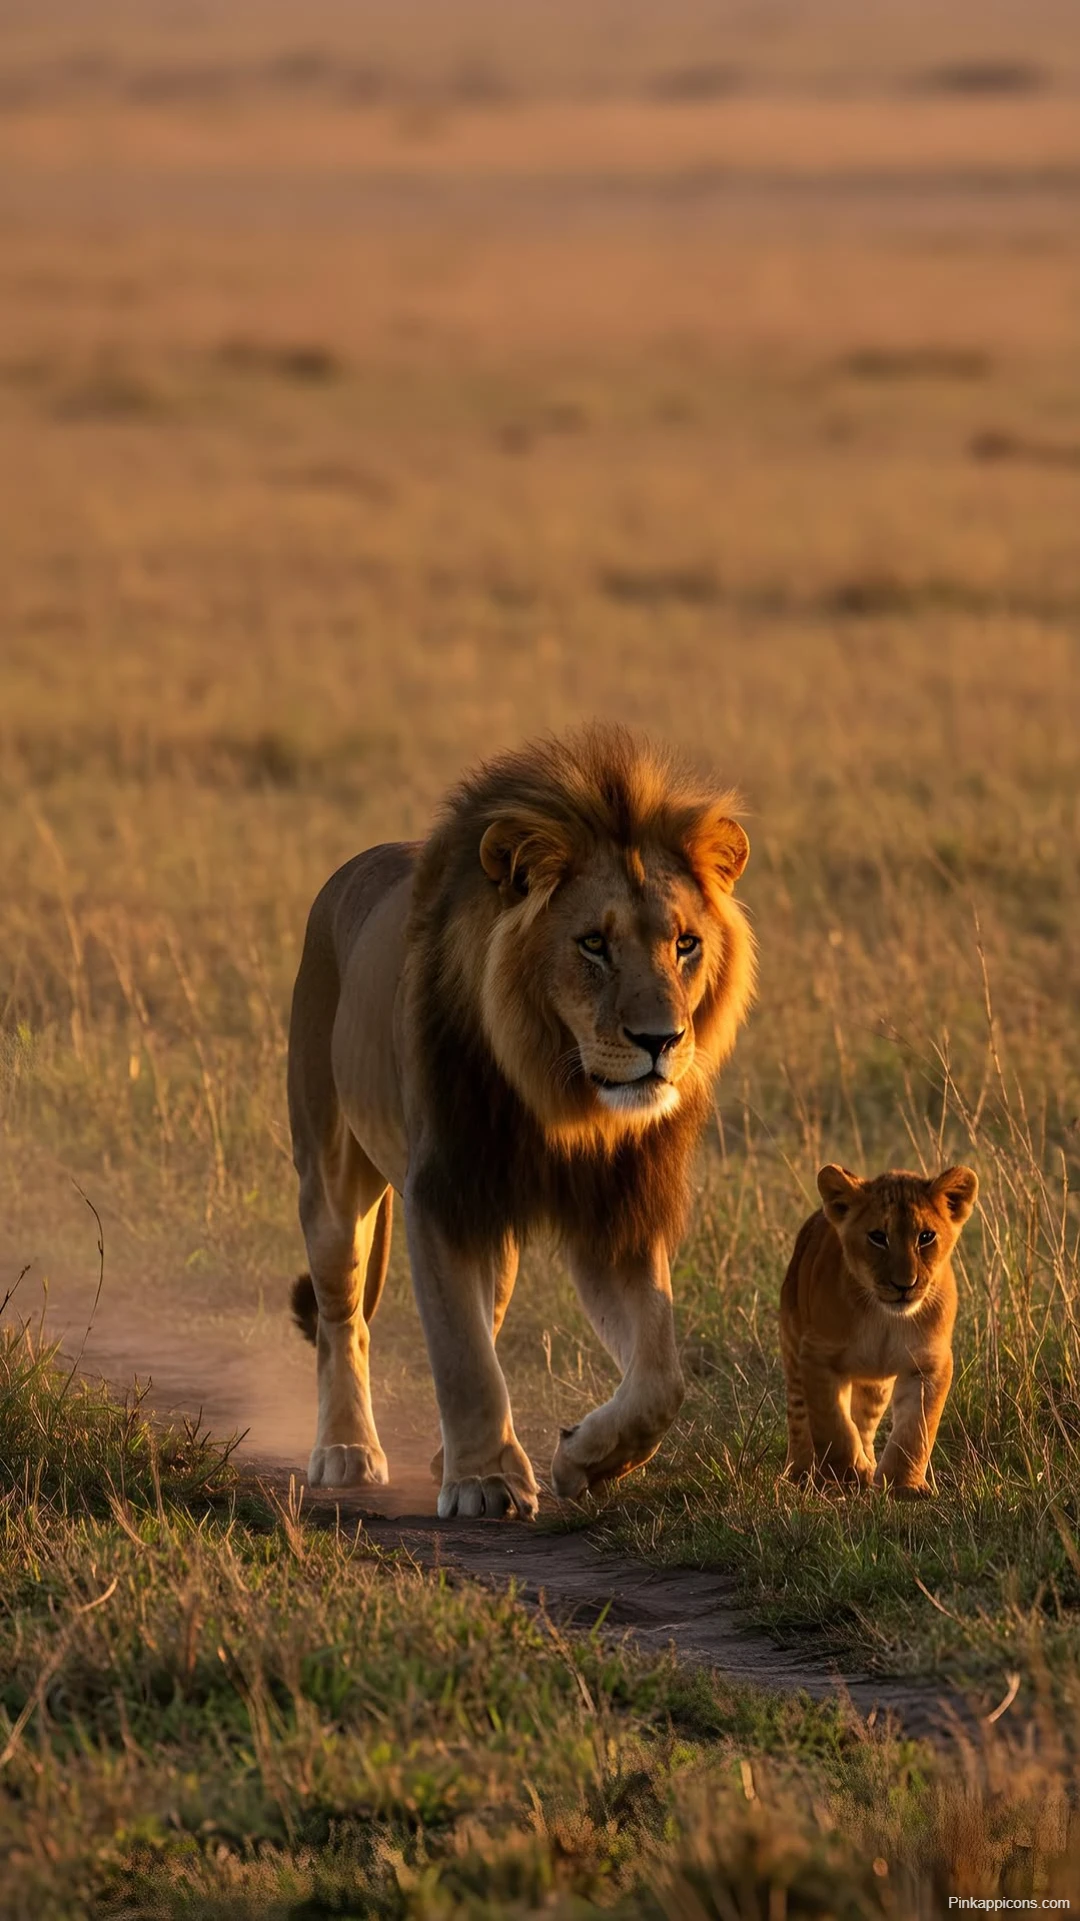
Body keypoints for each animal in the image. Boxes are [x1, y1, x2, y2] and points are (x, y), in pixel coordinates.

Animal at [287, 724, 755, 1519]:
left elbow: (660, 1377)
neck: (561, 1098)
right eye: (593, 943)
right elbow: (463, 1355)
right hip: (330, 1180)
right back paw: (347, 1449)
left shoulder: (615, 1217)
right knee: (342, 1317)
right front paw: (483, 1482)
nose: (661, 1039)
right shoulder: (445, 1194)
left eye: (685, 943)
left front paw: (583, 1458)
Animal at [779, 1163, 978, 1497]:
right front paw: (848, 1475)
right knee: (800, 1418)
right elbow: (832, 1424)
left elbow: (916, 1429)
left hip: (877, 1386)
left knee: (864, 1423)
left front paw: (903, 1485)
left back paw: (869, 1464)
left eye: (926, 1237)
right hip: (793, 1350)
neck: (885, 1317)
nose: (904, 1285)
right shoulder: (817, 1354)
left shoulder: (929, 1363)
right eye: (877, 1237)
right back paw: (800, 1474)